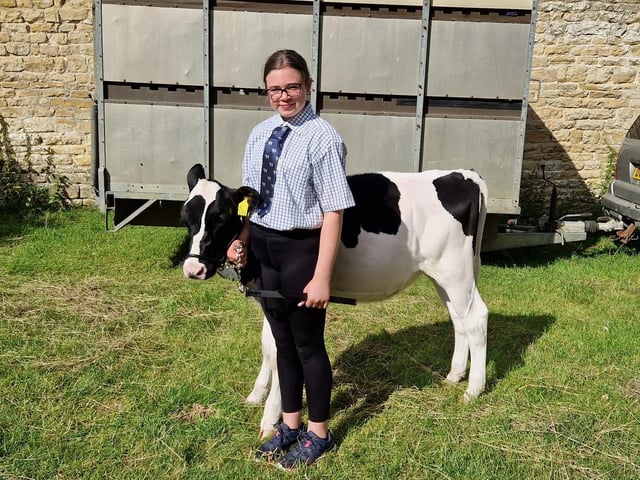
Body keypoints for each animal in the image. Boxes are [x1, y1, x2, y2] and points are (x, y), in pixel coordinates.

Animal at [181, 163, 489, 438]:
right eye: (186, 217)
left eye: (221, 217)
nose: (193, 269)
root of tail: (461, 174)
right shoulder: (268, 299)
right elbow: (269, 348)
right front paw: (256, 395)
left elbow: (281, 353)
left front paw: (270, 419)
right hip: (443, 275)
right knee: (458, 320)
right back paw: (454, 375)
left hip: (455, 271)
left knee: (476, 319)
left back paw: (473, 390)